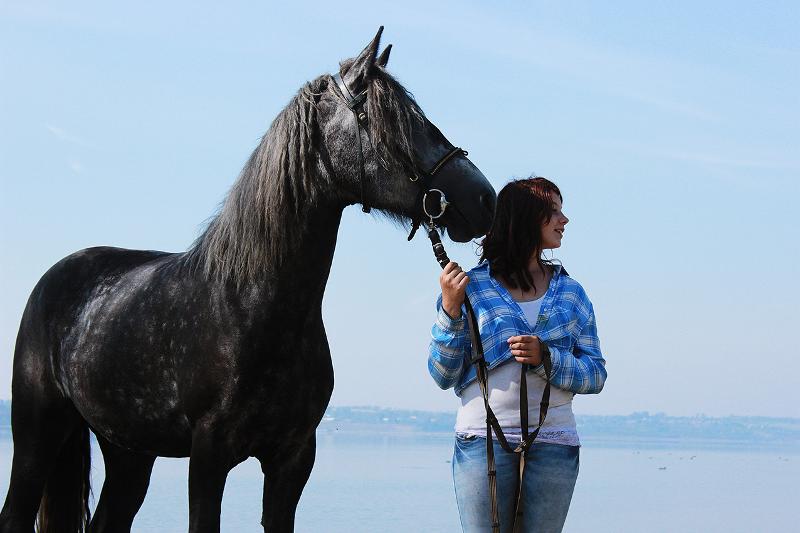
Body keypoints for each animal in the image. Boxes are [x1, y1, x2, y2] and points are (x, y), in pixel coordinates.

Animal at [0, 27, 495, 533]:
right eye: (396, 121)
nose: (484, 197)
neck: (255, 307)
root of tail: (57, 276)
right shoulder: (208, 457)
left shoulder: (292, 459)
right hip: (37, 435)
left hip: (128, 453)